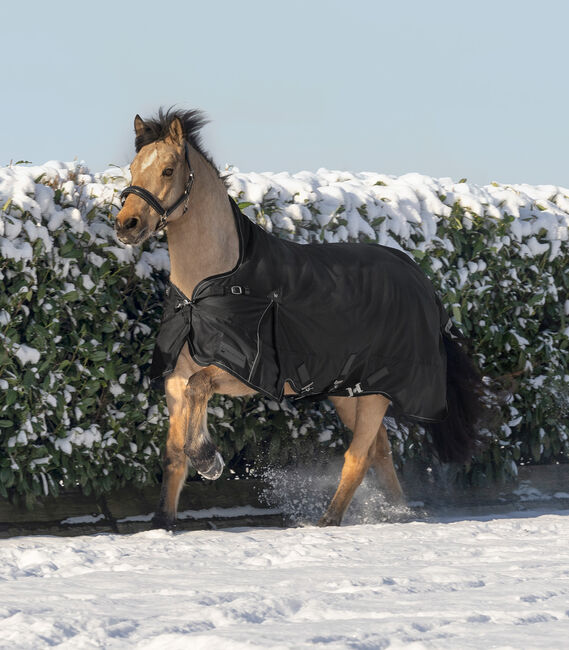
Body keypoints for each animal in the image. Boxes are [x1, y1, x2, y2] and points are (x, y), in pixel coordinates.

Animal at [114, 108, 486, 529]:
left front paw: (210, 461)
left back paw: (329, 521)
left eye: (168, 170)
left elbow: (199, 389)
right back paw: (398, 513)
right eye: (132, 168)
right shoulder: (175, 378)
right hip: (348, 391)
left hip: (377, 392)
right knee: (380, 451)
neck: (206, 289)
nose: (126, 225)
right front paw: (162, 521)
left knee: (358, 456)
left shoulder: (244, 374)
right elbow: (174, 453)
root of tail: (422, 282)